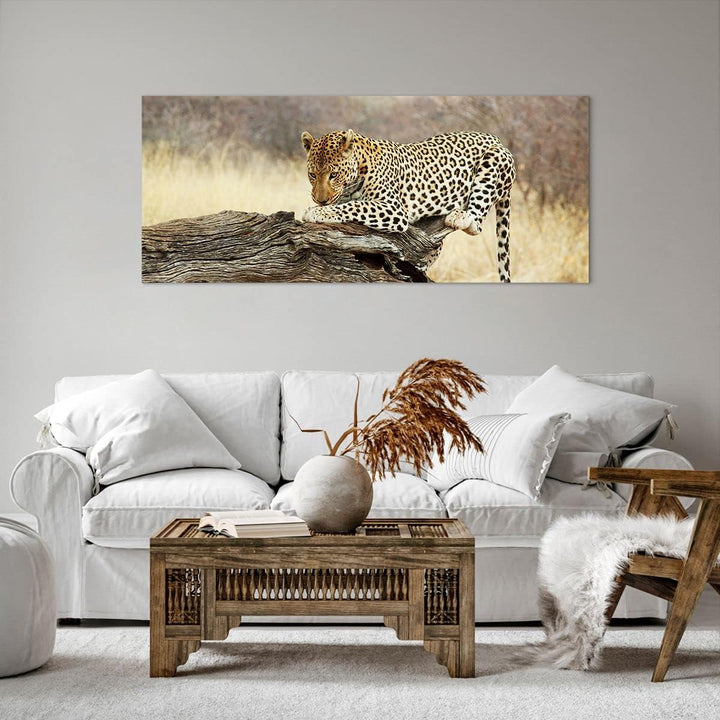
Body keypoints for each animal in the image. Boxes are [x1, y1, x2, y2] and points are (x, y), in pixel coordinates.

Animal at [300, 129, 516, 282]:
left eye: (333, 175)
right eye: (312, 175)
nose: (320, 200)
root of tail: (496, 139)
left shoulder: (393, 208)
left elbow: (355, 207)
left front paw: (316, 212)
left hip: (493, 161)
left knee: (476, 223)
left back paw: (461, 217)